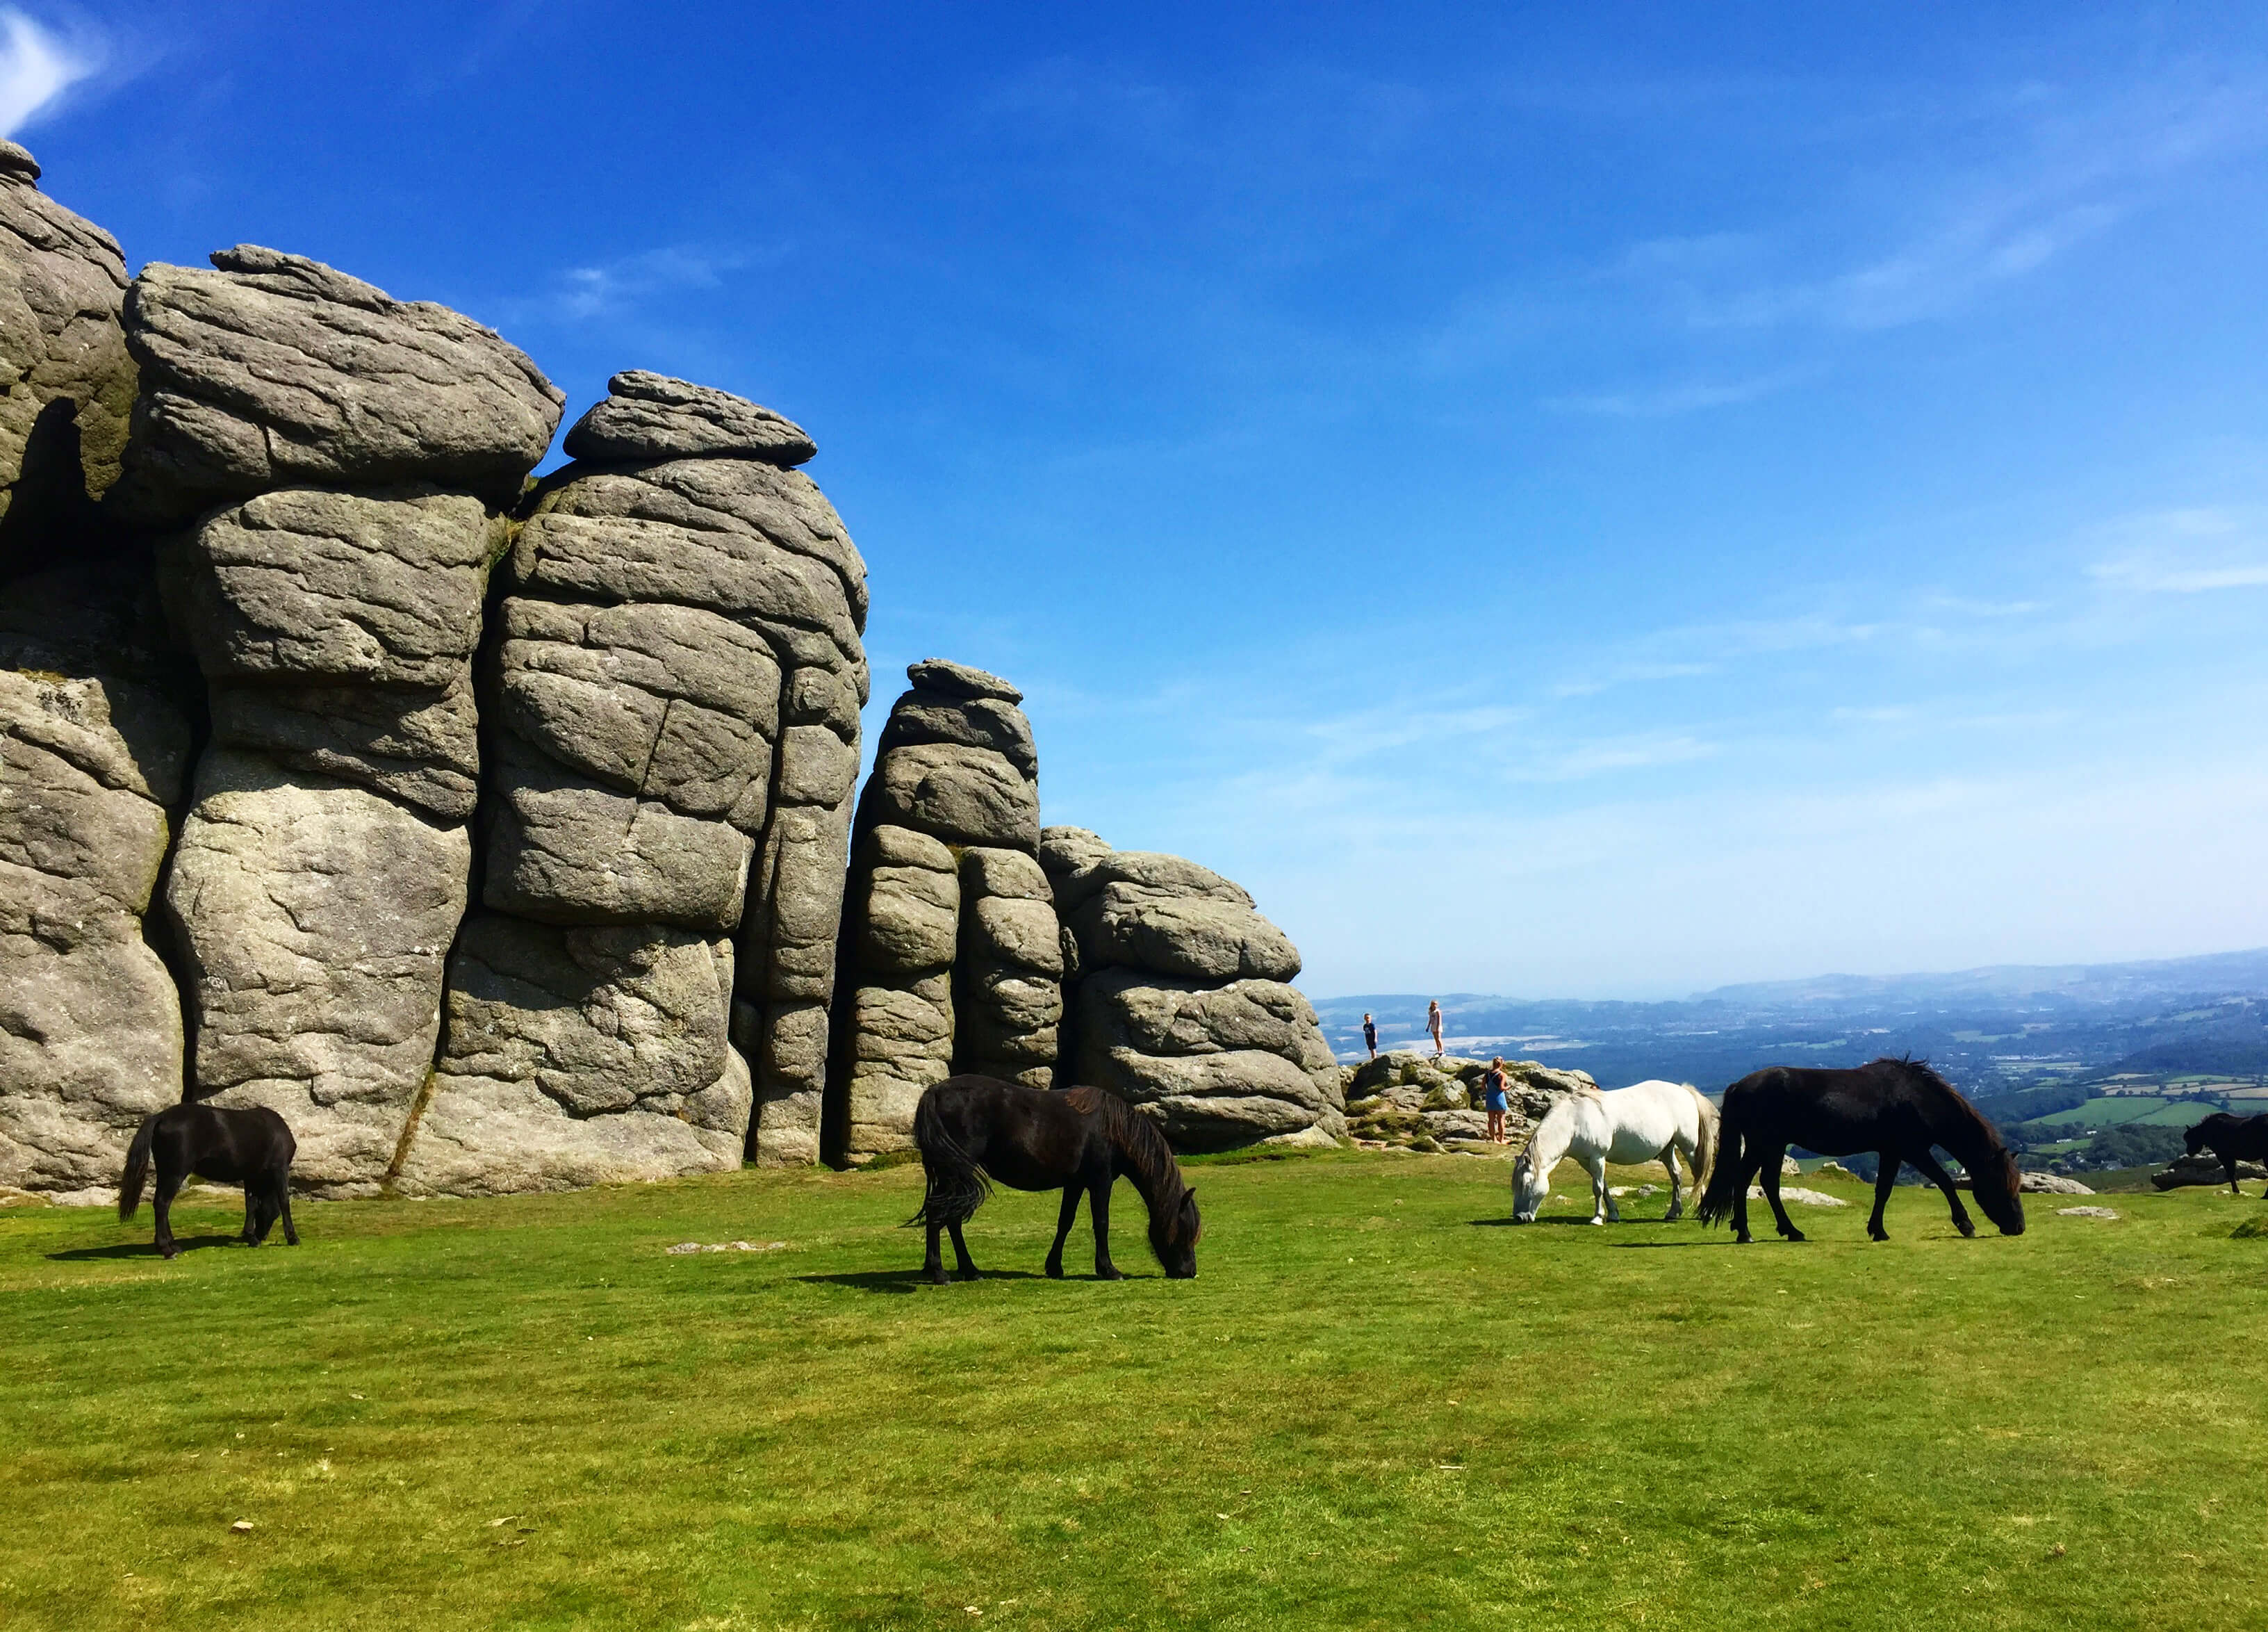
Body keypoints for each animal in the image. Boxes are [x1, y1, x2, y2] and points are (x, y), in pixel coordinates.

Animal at [120, 1098, 302, 1262]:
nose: (261, 1236)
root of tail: (161, 1117)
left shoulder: (251, 1175)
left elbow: (251, 1205)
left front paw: (250, 1237)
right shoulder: (279, 1168)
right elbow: (284, 1202)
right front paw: (292, 1237)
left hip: (165, 1172)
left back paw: (173, 1245)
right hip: (175, 1173)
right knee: (162, 1204)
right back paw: (166, 1249)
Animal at [907, 1071, 1206, 1289]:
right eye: (1184, 1230)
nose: (1189, 1271)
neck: (1112, 1129)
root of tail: (935, 1093)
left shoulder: (1075, 1184)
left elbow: (1066, 1222)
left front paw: (1054, 1266)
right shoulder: (1101, 1182)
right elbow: (1101, 1224)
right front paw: (1109, 1270)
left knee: (949, 1218)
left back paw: (965, 1270)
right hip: (956, 1175)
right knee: (939, 1215)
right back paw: (941, 1273)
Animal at [1515, 1084, 1705, 1225]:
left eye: (1526, 1183)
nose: (1519, 1217)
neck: (1574, 1121)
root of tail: (1685, 1091)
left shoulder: (1598, 1157)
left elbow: (1598, 1188)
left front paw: (1597, 1218)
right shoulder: (1586, 1161)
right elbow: (1603, 1186)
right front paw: (1613, 1214)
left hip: (1688, 1147)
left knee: (1699, 1173)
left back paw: (1704, 1212)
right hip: (1667, 1149)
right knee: (1676, 1174)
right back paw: (1674, 1212)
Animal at [1705, 1053, 2023, 1243]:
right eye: (2003, 1186)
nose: (2019, 1227)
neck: (1917, 1099)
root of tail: (1739, 1086)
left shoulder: (1891, 1152)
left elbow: (1883, 1190)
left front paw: (1877, 1230)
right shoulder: (1914, 1150)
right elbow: (1944, 1181)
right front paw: (1965, 1224)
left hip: (1769, 1145)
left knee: (1761, 1183)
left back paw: (1779, 1231)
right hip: (1766, 1144)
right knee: (1753, 1182)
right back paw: (1756, 1232)